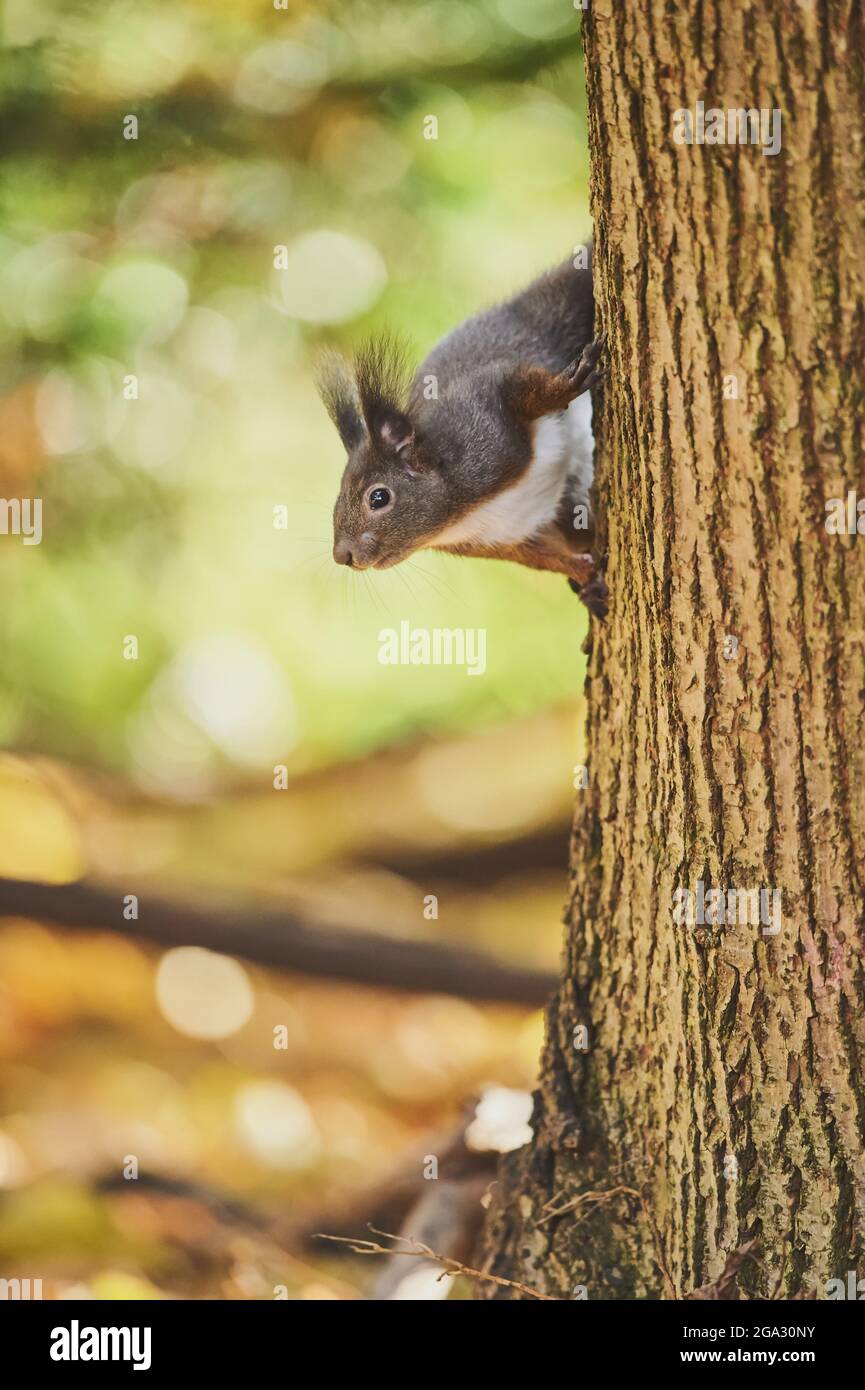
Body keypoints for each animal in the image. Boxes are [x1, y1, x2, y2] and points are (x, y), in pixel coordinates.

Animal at [318, 250, 609, 619]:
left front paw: (563, 387)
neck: (462, 515)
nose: (342, 555)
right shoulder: (507, 540)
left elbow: (522, 388)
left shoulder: (483, 415)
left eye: (379, 497)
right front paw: (585, 574)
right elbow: (546, 558)